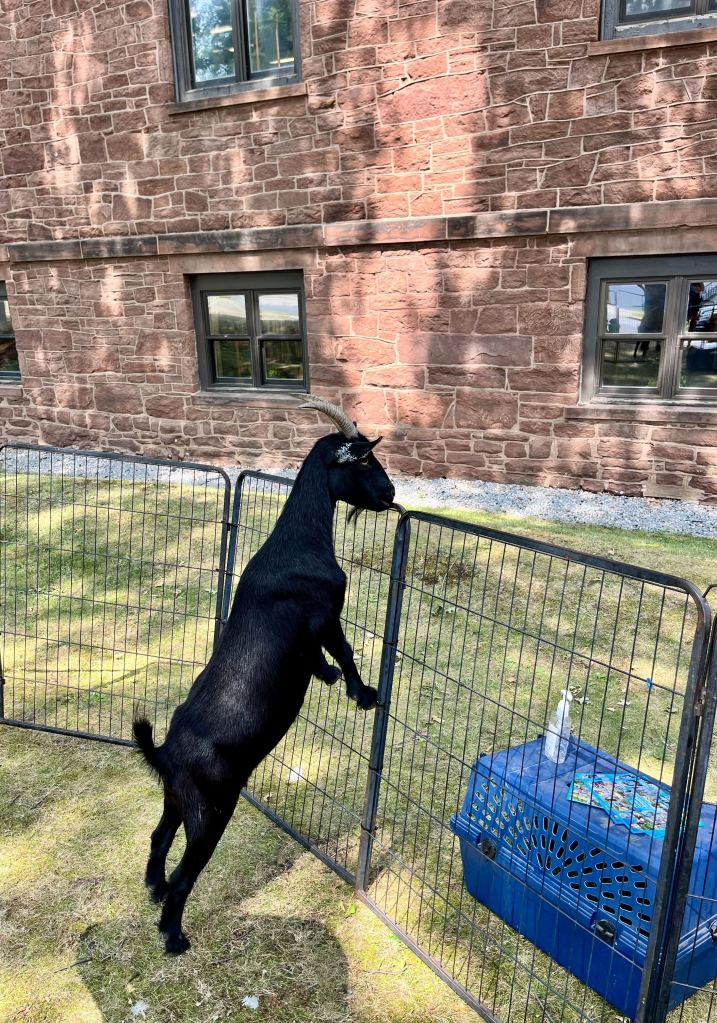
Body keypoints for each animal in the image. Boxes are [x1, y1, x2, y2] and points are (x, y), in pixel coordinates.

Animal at [133, 396, 396, 955]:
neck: (297, 542)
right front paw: (363, 693)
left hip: (175, 801)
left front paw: (326, 678)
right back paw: (173, 936)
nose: (390, 494)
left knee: (158, 837)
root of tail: (165, 753)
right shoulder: (325, 614)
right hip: (211, 811)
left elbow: (319, 658)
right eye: (363, 461)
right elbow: (344, 649)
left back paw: (153, 888)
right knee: (187, 873)